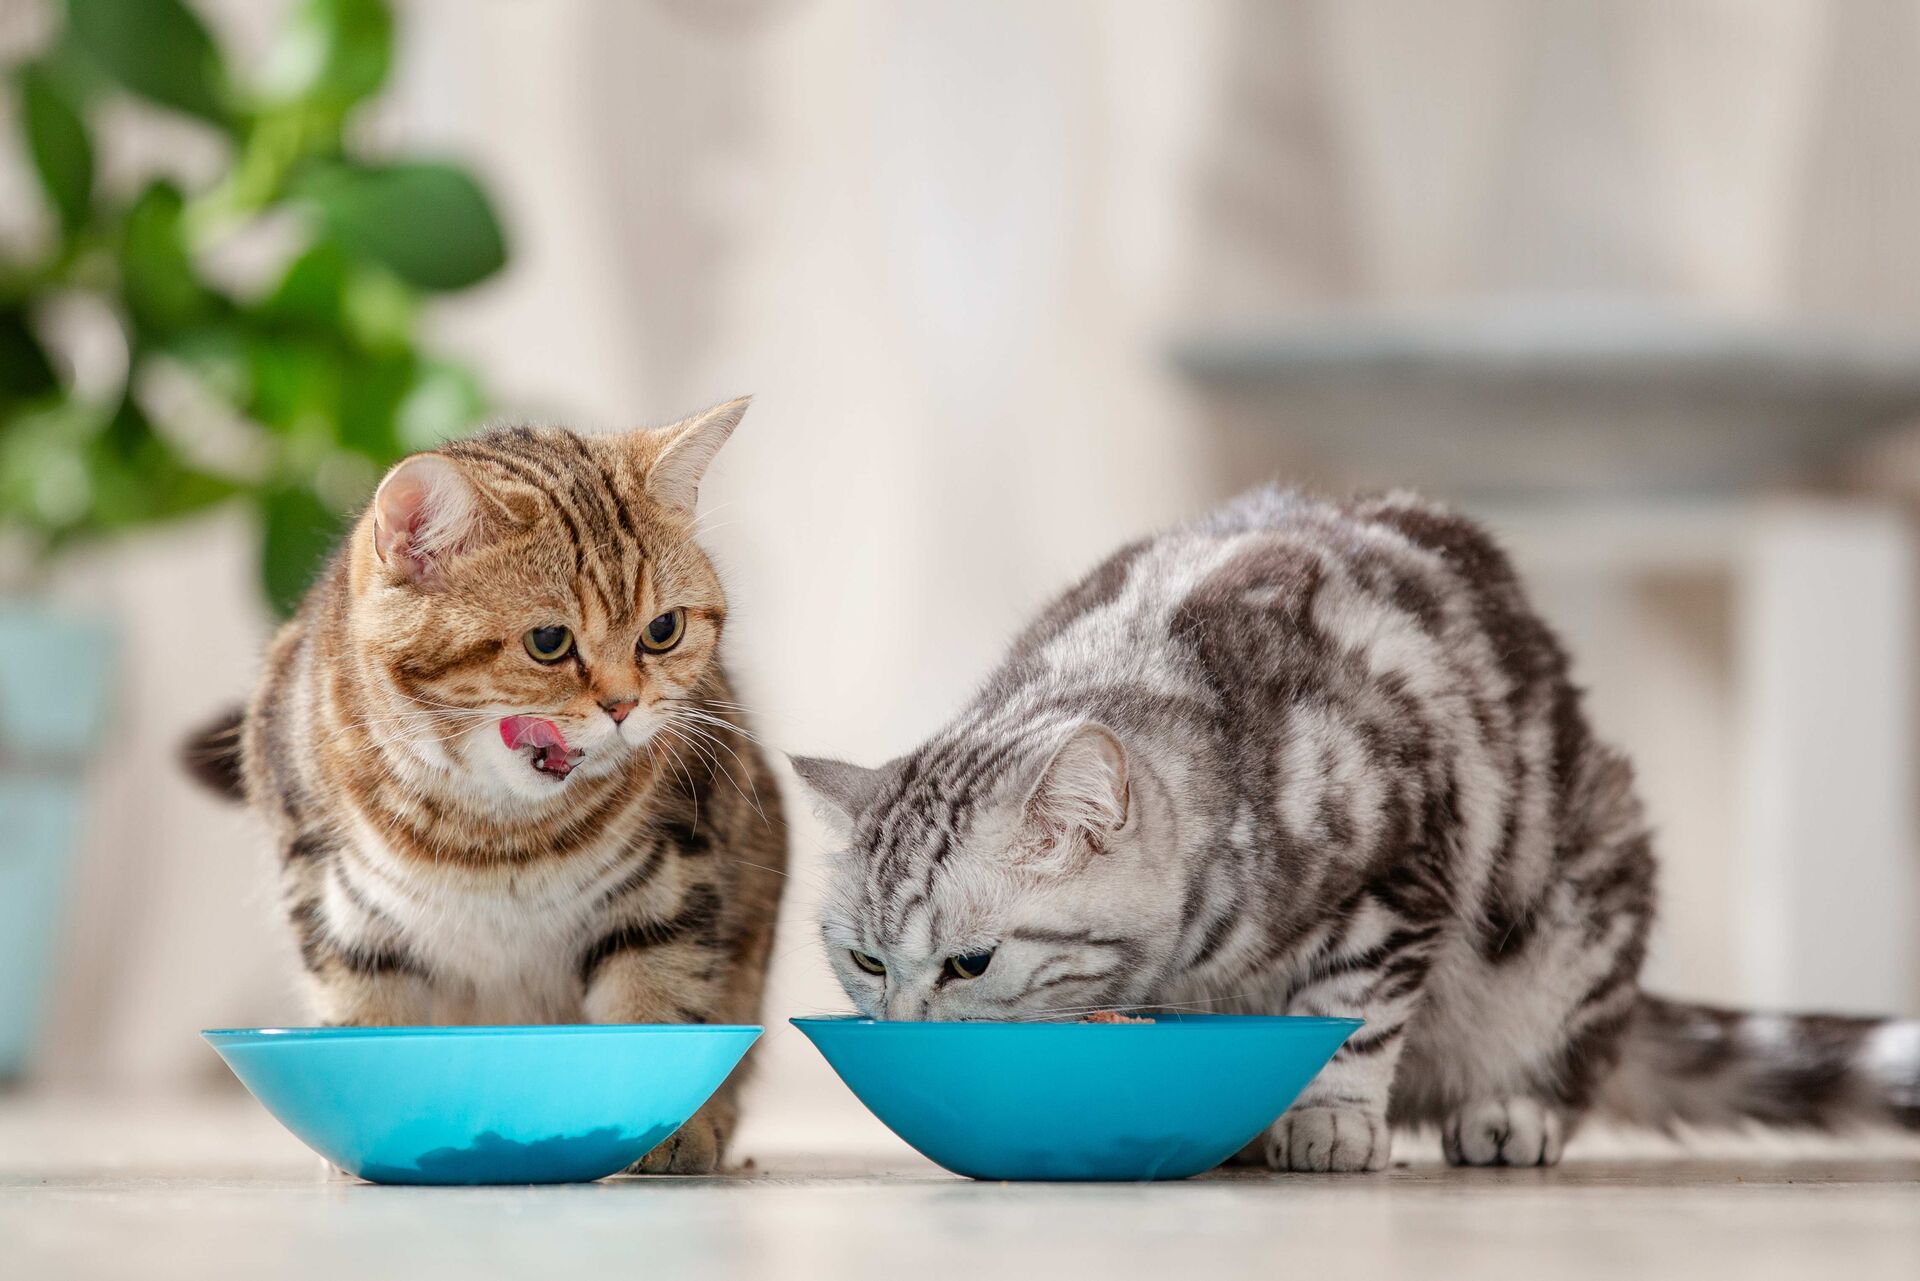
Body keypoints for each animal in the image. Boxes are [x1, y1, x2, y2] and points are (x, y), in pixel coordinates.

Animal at [791, 487, 1920, 1175]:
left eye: (970, 964)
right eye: (864, 959)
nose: (899, 1023)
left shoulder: (1404, 872)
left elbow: (1356, 1012)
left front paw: (1330, 1117)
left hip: (1585, 891)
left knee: (1573, 1059)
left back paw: (1511, 1113)